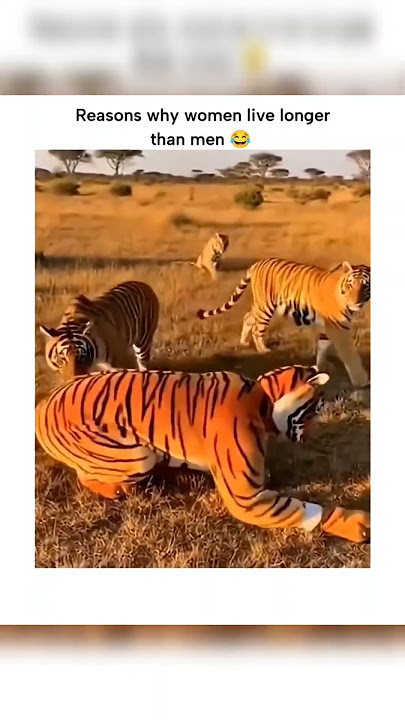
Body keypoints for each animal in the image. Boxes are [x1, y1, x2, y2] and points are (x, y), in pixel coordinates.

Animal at [35, 364, 370, 543]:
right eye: (313, 410)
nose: (312, 434)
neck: (263, 403)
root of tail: (44, 402)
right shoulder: (245, 495)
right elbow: (303, 509)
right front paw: (355, 523)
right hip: (134, 455)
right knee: (87, 477)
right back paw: (119, 489)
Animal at [197, 258, 370, 391]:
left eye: (365, 286)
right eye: (351, 284)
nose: (356, 302)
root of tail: (257, 263)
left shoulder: (328, 327)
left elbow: (322, 347)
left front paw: (320, 367)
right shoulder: (339, 328)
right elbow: (351, 355)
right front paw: (362, 381)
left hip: (263, 305)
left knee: (248, 317)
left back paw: (244, 341)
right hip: (266, 306)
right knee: (257, 329)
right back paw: (263, 350)